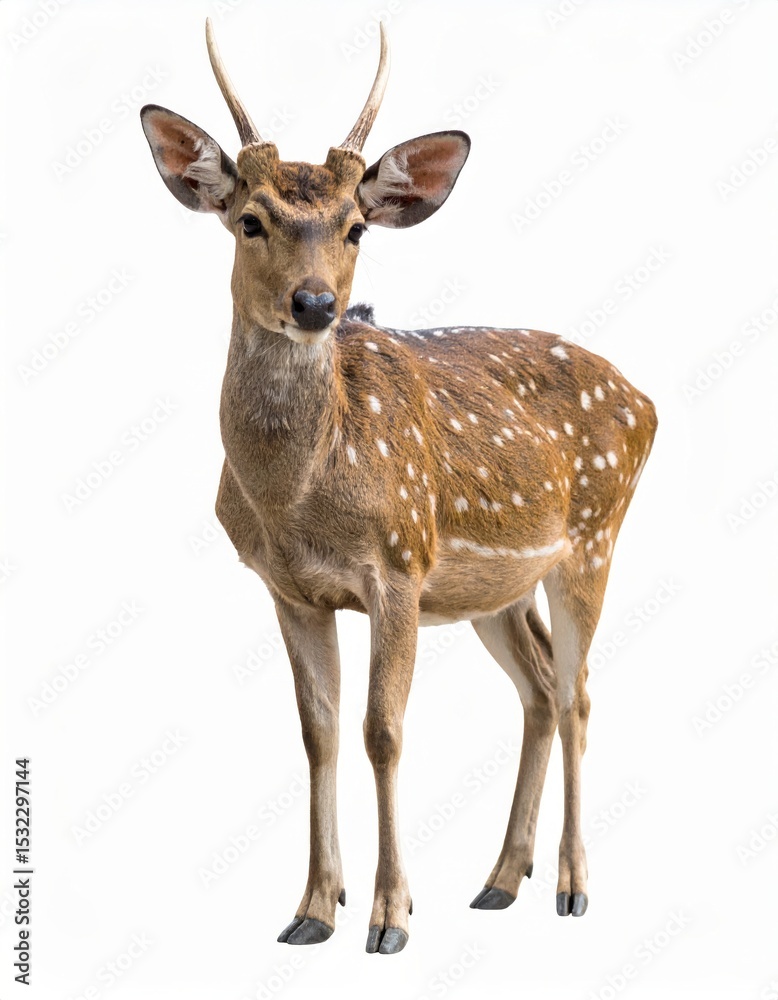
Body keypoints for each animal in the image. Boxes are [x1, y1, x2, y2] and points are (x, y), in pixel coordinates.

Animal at [140, 20, 657, 955]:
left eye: (354, 228)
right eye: (250, 220)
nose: (314, 304)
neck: (296, 502)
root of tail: (649, 400)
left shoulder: (400, 564)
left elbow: (383, 731)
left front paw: (389, 917)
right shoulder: (289, 588)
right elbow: (317, 732)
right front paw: (312, 909)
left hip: (596, 537)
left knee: (577, 694)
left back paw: (571, 887)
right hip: (496, 587)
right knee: (538, 688)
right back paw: (499, 881)